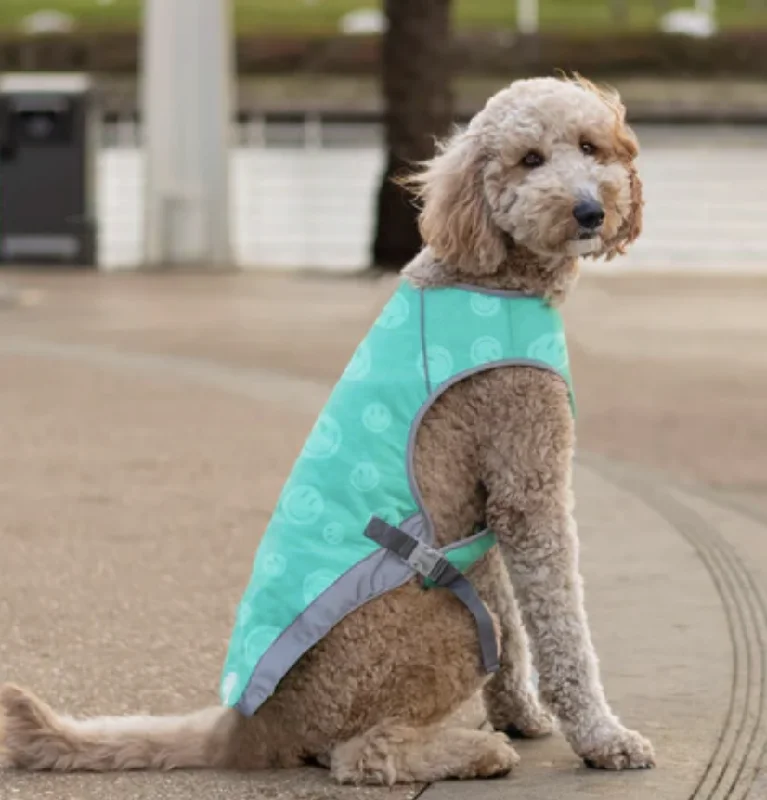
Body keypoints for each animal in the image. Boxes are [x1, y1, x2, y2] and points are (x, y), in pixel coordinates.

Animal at [0, 76, 656, 788]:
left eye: (589, 147)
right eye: (529, 159)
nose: (590, 210)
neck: (490, 271)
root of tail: (249, 730)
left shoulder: (485, 504)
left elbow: (514, 621)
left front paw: (522, 714)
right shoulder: (527, 474)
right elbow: (564, 632)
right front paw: (603, 738)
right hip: (442, 623)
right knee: (357, 753)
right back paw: (474, 752)